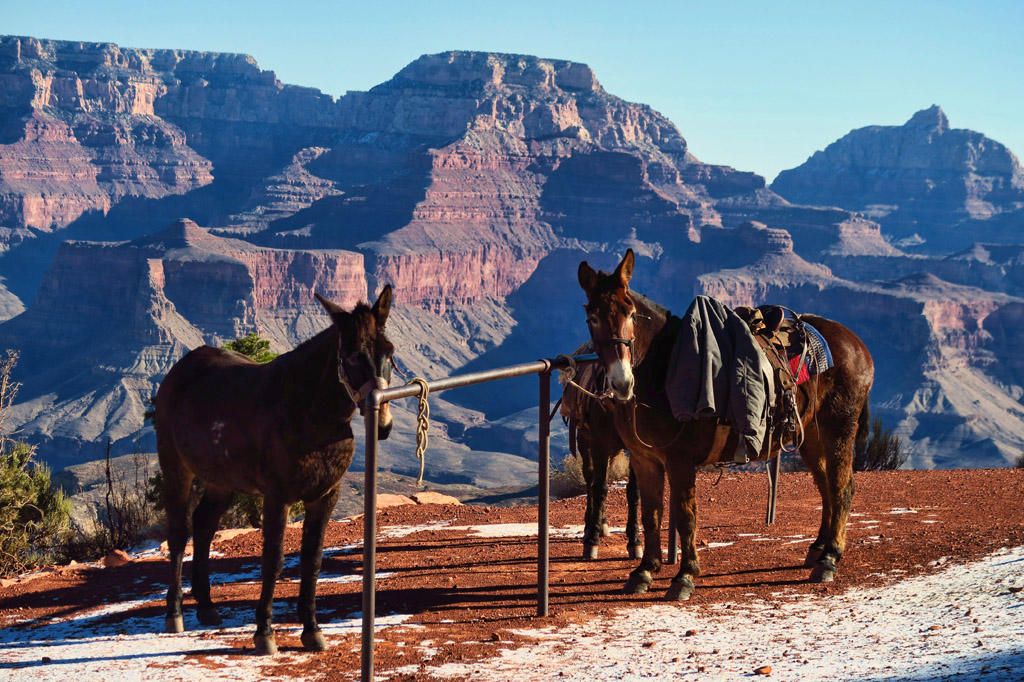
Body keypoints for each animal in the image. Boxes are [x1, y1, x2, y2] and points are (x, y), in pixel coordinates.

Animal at [153, 286, 395, 655]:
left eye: (389, 352)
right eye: (352, 356)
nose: (383, 424)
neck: (309, 411)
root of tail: (181, 368)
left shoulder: (325, 496)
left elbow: (312, 560)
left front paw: (312, 630)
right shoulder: (278, 497)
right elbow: (274, 560)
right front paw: (264, 633)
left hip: (222, 480)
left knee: (205, 525)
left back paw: (207, 607)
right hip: (176, 466)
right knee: (180, 532)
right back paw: (175, 613)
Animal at [559, 342, 641, 560]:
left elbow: (633, 490)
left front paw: (634, 541)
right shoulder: (598, 444)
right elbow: (599, 486)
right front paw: (591, 540)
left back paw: (602, 522)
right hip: (583, 439)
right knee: (590, 478)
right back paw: (591, 524)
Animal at [577, 250, 873, 599]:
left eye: (631, 313)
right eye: (592, 318)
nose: (622, 382)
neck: (664, 372)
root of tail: (855, 342)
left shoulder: (679, 461)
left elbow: (685, 515)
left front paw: (685, 576)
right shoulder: (644, 459)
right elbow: (651, 514)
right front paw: (644, 571)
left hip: (839, 428)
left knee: (842, 487)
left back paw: (829, 558)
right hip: (811, 436)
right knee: (826, 485)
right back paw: (817, 549)